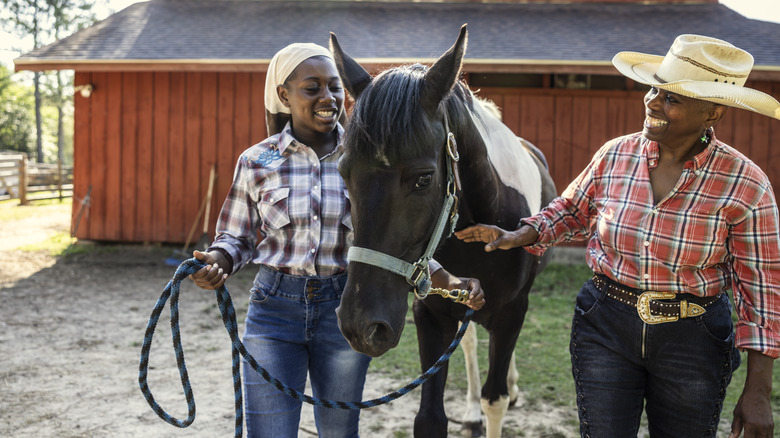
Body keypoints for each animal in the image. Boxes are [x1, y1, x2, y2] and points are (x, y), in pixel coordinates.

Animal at [332, 26, 556, 438]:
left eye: (424, 178)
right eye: (344, 172)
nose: (360, 326)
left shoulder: (512, 311)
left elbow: (495, 399)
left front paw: (503, 393)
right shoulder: (432, 312)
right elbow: (430, 417)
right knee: (468, 343)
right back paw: (469, 411)